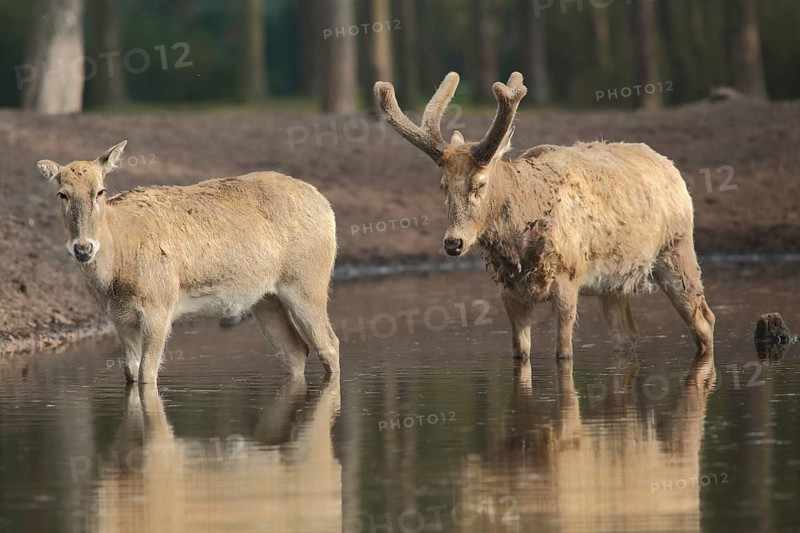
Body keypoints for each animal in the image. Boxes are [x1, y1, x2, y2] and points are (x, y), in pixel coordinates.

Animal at [36, 141, 340, 385]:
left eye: (100, 190)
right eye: (61, 193)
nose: (83, 248)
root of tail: (326, 206)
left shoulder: (159, 306)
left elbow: (147, 374)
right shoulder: (119, 319)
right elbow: (131, 372)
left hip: (307, 283)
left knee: (329, 343)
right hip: (266, 299)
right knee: (296, 350)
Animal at [374, 72, 715, 364]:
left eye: (479, 184)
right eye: (443, 185)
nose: (453, 243)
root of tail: (671, 169)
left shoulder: (568, 276)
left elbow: (563, 353)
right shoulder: (510, 292)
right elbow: (520, 353)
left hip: (677, 247)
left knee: (704, 319)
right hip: (613, 284)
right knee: (628, 334)